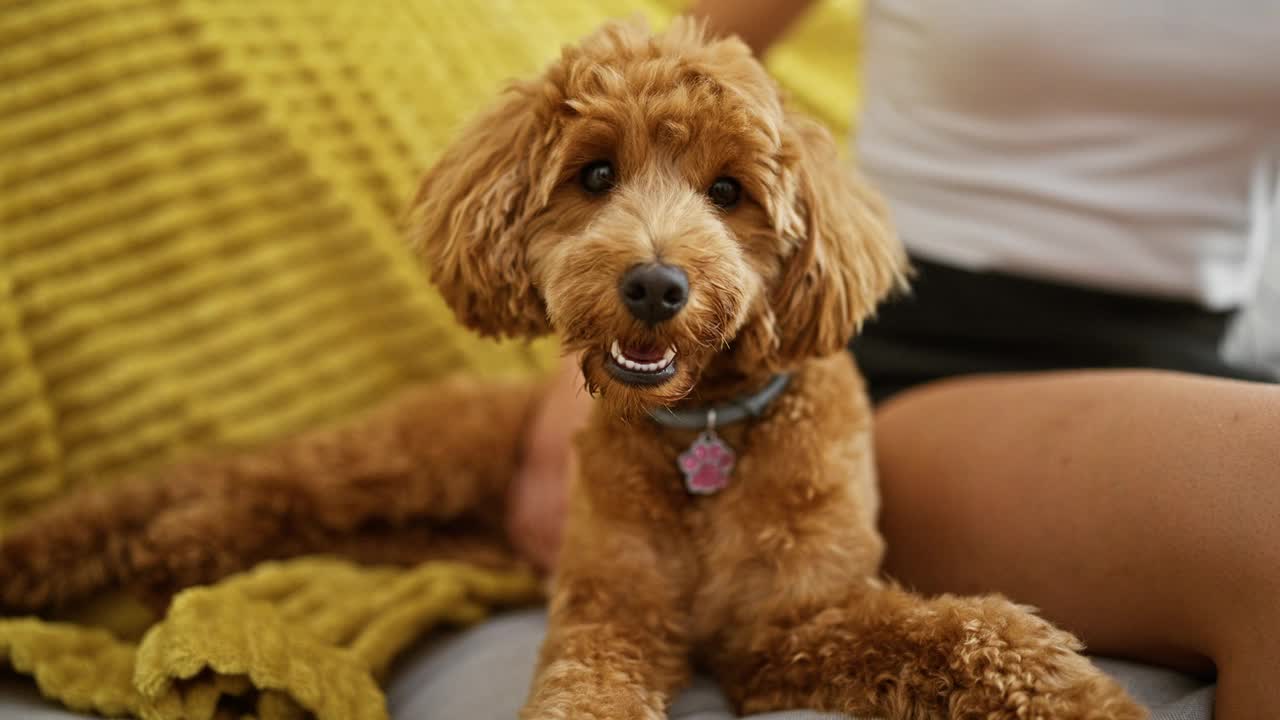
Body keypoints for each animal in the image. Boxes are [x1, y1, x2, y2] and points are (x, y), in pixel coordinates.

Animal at [412, 16, 1152, 717]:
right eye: (595, 175)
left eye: (727, 191)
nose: (654, 285)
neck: (705, 420)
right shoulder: (613, 611)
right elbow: (585, 691)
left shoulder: (789, 625)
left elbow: (953, 633)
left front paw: (1081, 697)